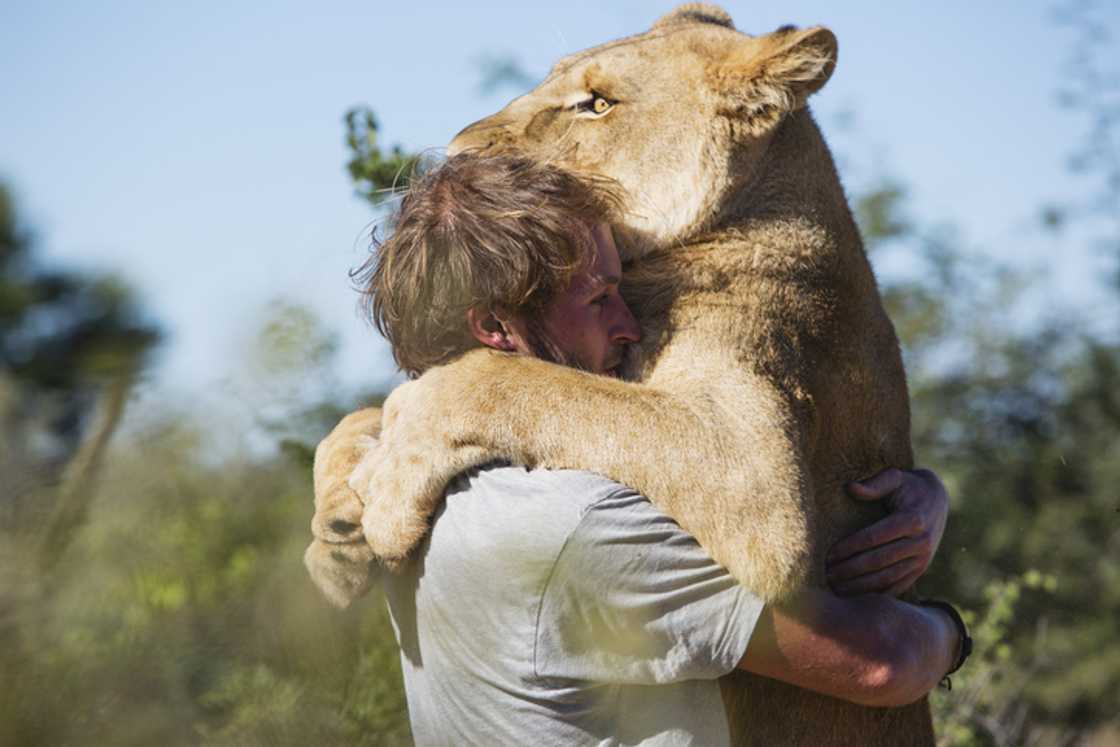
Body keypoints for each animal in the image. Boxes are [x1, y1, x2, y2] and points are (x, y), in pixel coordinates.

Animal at [306, 5, 936, 747]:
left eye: (598, 103)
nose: (457, 152)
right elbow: (361, 415)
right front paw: (336, 532)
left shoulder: (756, 475)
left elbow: (515, 380)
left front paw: (389, 486)